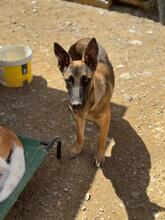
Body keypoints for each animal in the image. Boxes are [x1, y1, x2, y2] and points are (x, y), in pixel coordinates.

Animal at [54, 38, 114, 167]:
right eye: (68, 81)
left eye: (86, 80)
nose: (76, 105)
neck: (89, 104)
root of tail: (84, 39)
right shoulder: (78, 118)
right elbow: (80, 135)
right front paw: (78, 149)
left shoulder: (105, 120)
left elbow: (102, 140)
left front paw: (100, 155)